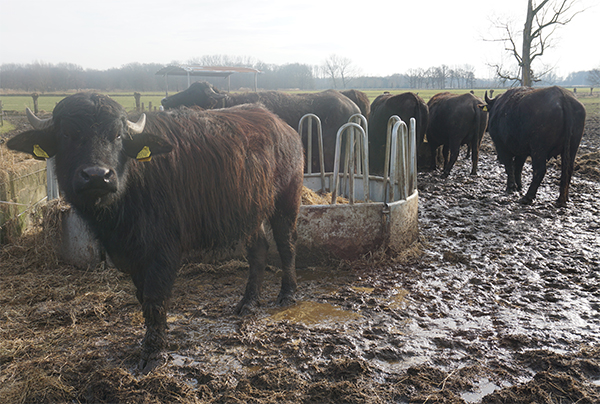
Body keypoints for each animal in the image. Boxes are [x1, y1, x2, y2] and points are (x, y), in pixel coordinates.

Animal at [8, 93, 308, 370]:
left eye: (117, 135)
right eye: (67, 134)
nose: (97, 175)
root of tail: (283, 127)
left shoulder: (162, 249)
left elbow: (155, 298)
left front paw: (152, 352)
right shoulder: (132, 253)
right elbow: (143, 298)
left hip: (286, 199)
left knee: (287, 244)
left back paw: (287, 294)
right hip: (250, 211)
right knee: (258, 249)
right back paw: (248, 301)